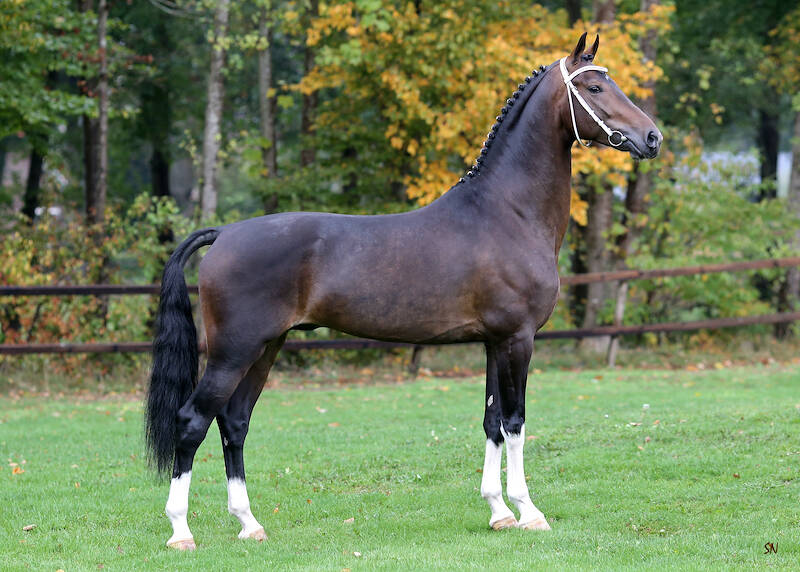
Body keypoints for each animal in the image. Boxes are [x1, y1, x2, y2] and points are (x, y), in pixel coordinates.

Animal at [145, 33, 662, 550]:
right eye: (594, 87)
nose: (653, 138)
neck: (507, 213)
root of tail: (224, 234)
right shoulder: (518, 339)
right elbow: (515, 422)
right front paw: (528, 511)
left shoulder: (494, 342)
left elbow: (492, 422)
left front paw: (498, 512)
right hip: (234, 352)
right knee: (192, 421)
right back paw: (180, 530)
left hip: (266, 348)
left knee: (234, 422)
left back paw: (249, 524)